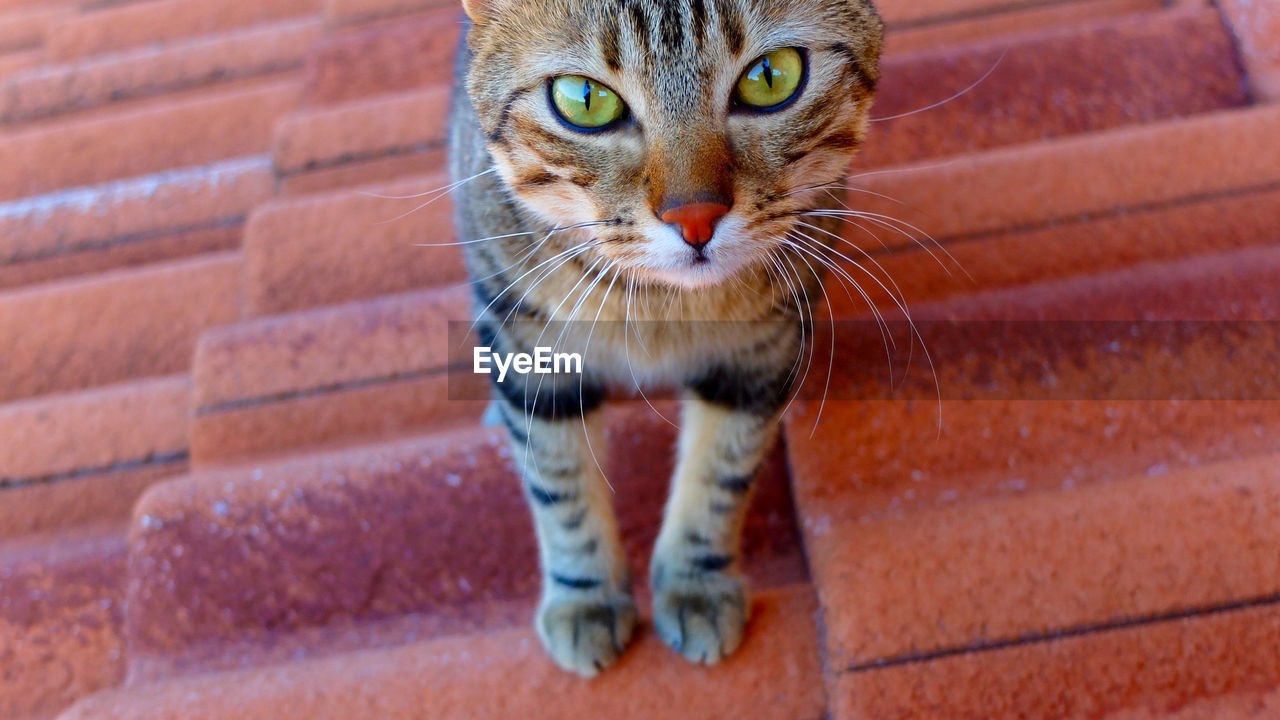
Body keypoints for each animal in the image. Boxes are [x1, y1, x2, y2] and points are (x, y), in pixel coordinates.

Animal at [448, 0, 880, 671]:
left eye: (772, 77)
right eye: (585, 101)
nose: (694, 217)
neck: (658, 305)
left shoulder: (761, 356)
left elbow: (721, 470)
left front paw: (695, 583)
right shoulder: (526, 345)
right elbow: (559, 484)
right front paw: (585, 595)